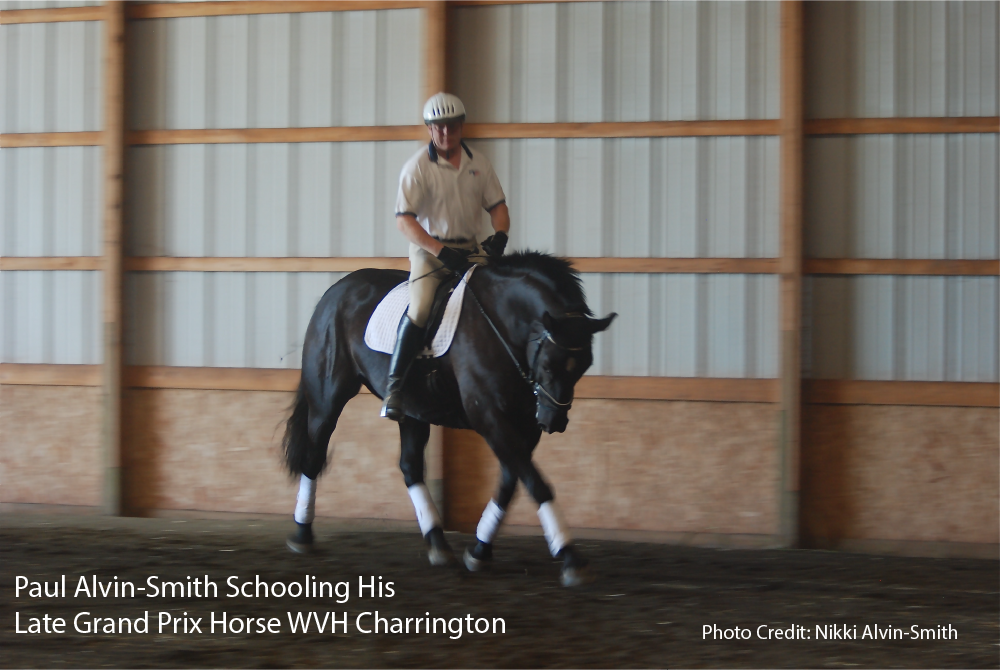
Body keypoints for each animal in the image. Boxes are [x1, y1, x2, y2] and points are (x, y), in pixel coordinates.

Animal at [278, 252, 612, 588]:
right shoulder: (489, 416)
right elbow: (537, 484)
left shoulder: (524, 426)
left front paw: (479, 550)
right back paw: (302, 534)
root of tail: (336, 290)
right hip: (327, 400)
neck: (503, 325)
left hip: (413, 411)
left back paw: (437, 542)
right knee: (314, 457)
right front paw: (571, 557)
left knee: (410, 467)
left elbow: (512, 481)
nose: (553, 421)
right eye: (548, 363)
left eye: (585, 365)